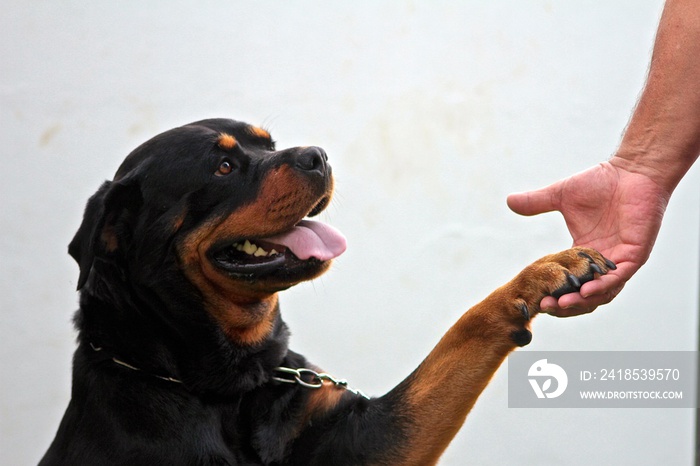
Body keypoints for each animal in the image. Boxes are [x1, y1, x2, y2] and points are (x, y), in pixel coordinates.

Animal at [41, 118, 616, 464]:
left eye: (268, 144)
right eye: (224, 166)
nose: (316, 154)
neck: (230, 383)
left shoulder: (370, 440)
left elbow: (459, 339)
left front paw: (543, 270)